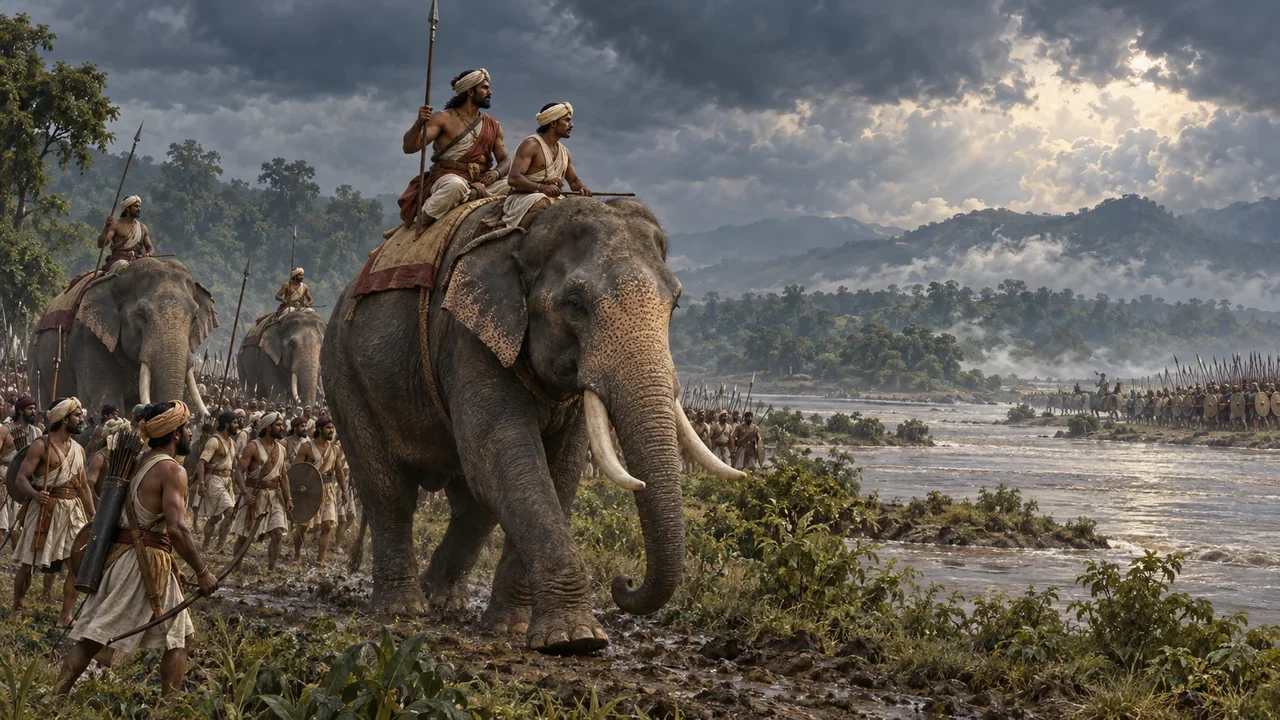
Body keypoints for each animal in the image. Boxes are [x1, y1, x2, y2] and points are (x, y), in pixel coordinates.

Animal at [322, 197, 742, 655]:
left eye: (675, 304)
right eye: (575, 303)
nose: (623, 582)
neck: (531, 231)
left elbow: (558, 470)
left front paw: (514, 629)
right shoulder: (468, 336)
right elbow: (504, 457)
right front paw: (576, 640)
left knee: (473, 507)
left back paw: (443, 599)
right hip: (343, 371)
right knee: (389, 489)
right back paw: (402, 609)